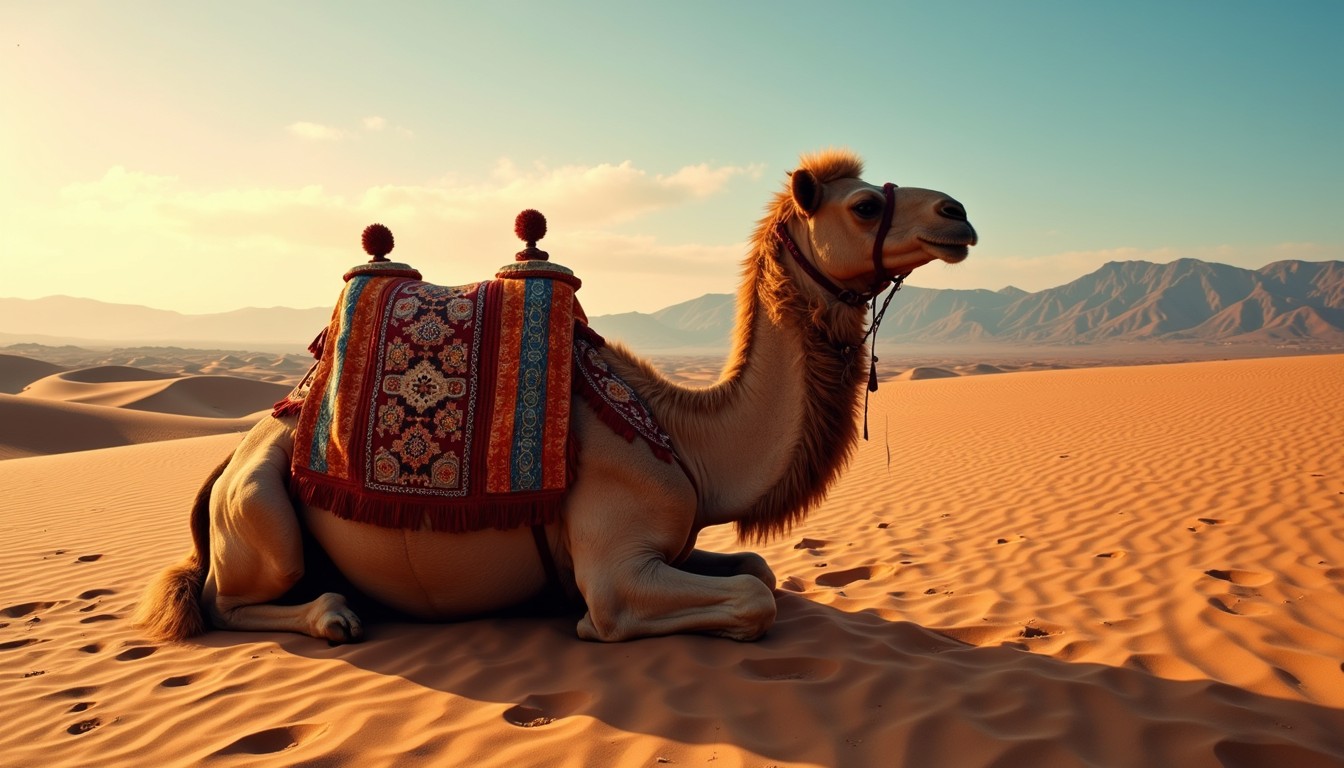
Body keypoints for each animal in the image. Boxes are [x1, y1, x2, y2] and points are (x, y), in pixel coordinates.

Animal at [136, 149, 977, 644]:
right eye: (863, 206)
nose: (958, 213)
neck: (688, 442)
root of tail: (221, 467)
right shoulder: (615, 567)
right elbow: (747, 600)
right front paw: (584, 628)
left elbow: (760, 573)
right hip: (260, 509)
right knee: (221, 600)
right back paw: (333, 612)